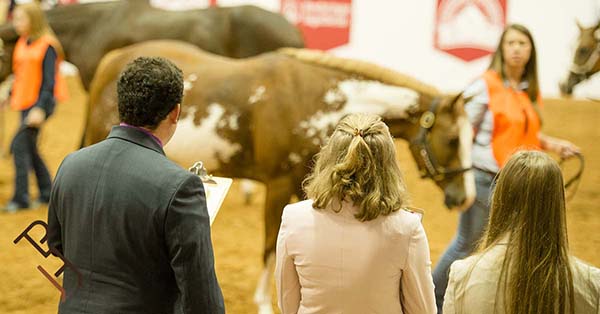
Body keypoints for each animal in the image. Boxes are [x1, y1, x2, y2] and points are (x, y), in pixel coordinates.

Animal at [85, 40, 478, 312]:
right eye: (452, 139)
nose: (466, 197)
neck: (314, 99)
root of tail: (112, 61)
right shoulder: (277, 186)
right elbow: (269, 245)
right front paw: (263, 302)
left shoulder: (305, 190)